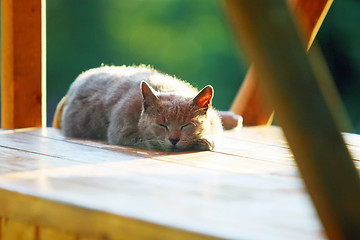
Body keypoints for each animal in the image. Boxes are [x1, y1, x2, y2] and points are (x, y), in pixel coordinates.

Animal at [52, 64, 240, 151]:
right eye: (162, 125)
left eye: (186, 125)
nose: (174, 139)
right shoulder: (121, 133)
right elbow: (148, 140)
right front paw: (202, 142)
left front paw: (205, 139)